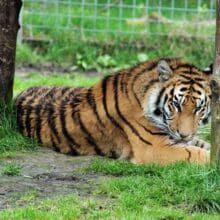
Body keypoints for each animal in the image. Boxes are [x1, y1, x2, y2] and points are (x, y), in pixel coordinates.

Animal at [14, 57, 212, 164]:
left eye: (199, 108)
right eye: (176, 105)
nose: (184, 135)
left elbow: (203, 145)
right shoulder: (154, 147)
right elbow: (196, 153)